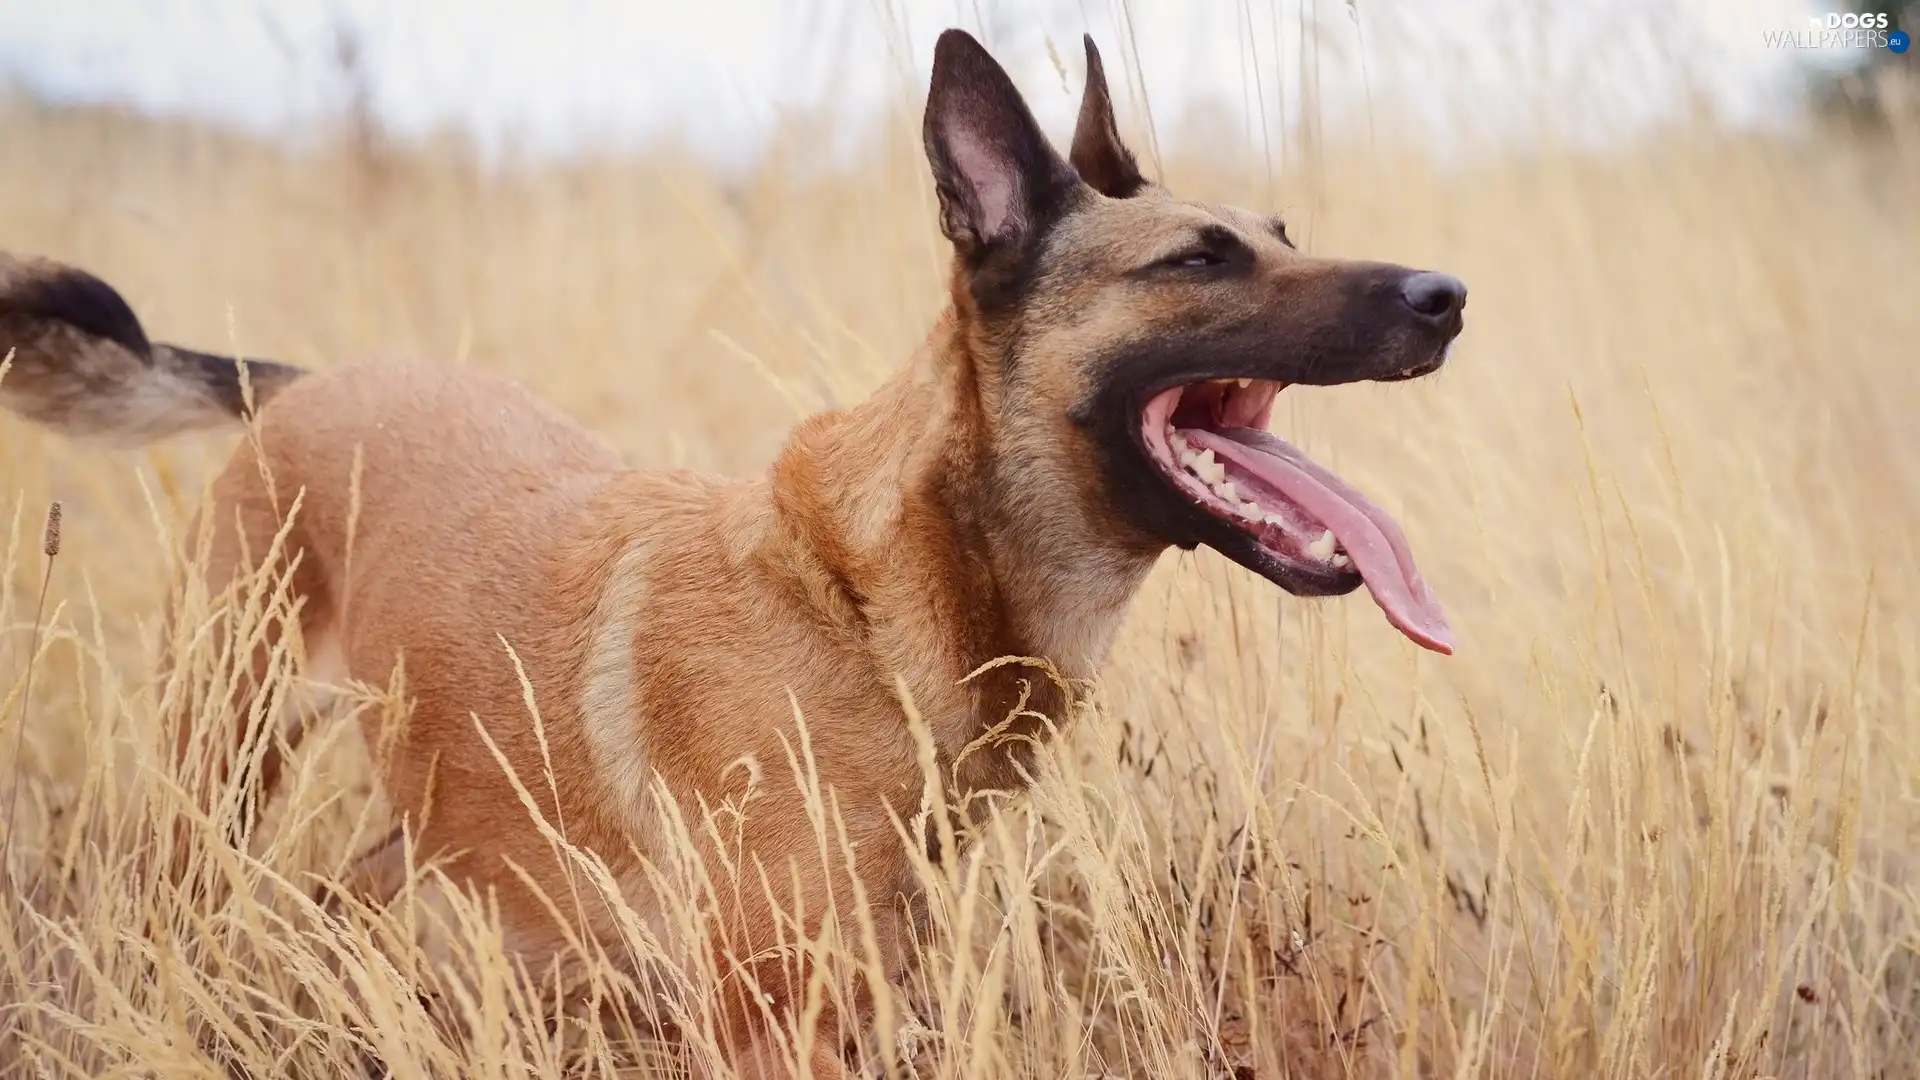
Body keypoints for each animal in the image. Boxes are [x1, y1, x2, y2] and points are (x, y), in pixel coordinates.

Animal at [3, 29, 1466, 1068]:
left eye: (1277, 234)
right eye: (1200, 260)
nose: (1446, 296)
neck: (870, 603)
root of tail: (307, 382)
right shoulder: (768, 1019)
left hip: (442, 818)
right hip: (218, 768)